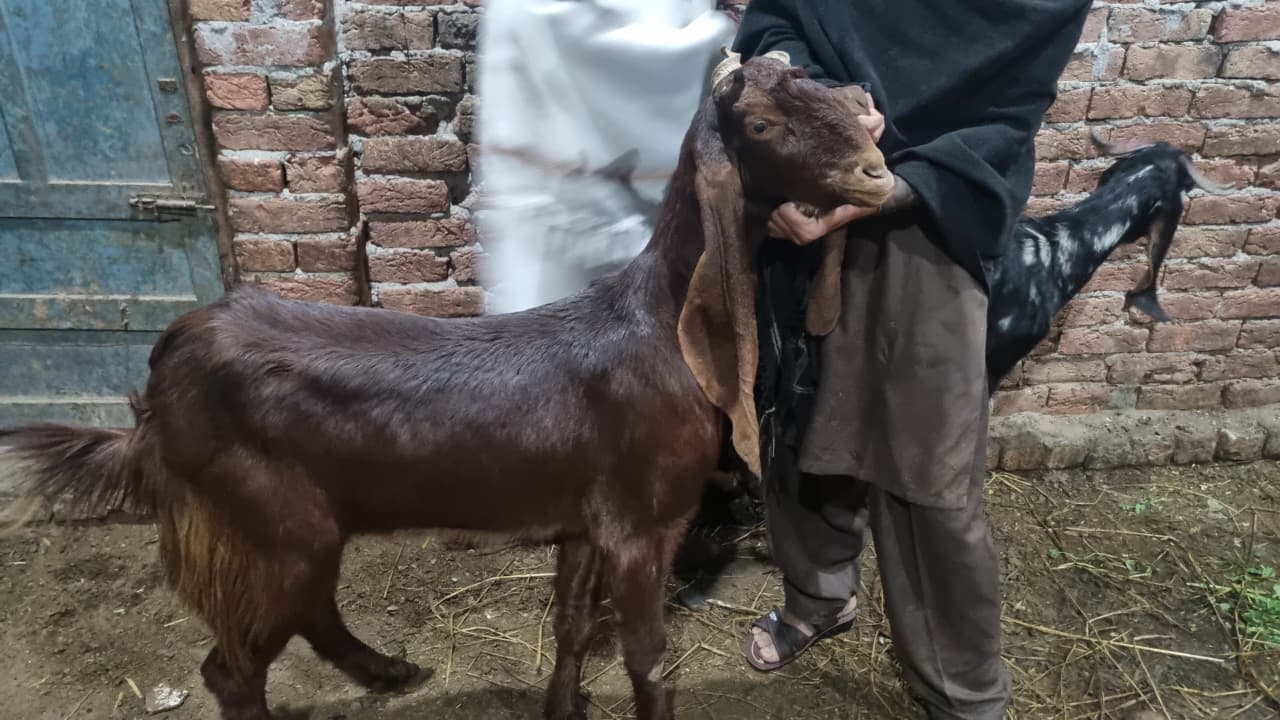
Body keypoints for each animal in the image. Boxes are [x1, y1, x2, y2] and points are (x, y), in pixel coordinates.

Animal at [2, 53, 892, 720]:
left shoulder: (584, 519)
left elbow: (573, 626)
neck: (659, 327)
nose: (876, 171)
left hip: (306, 522)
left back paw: (389, 671)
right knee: (233, 668)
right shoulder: (643, 523)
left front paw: (561, 709)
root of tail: (162, 379)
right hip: (262, 519)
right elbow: (648, 661)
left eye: (852, 101)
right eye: (763, 124)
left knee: (310, 611)